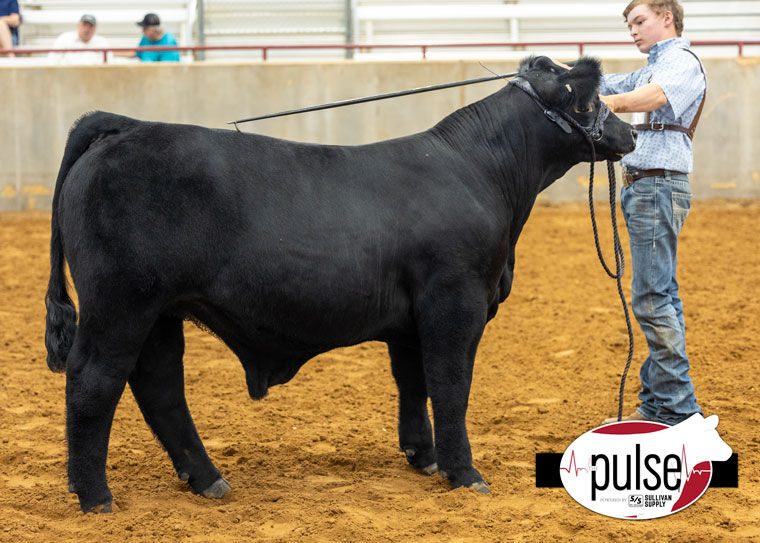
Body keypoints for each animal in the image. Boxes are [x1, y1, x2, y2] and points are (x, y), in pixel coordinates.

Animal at [45, 56, 637, 513]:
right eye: (587, 102)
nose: (630, 132)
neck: (480, 172)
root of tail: (126, 125)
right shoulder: (457, 300)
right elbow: (450, 383)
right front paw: (465, 473)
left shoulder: (411, 319)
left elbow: (413, 382)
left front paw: (424, 457)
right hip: (121, 305)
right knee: (93, 383)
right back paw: (95, 496)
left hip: (161, 312)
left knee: (160, 385)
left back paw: (207, 479)